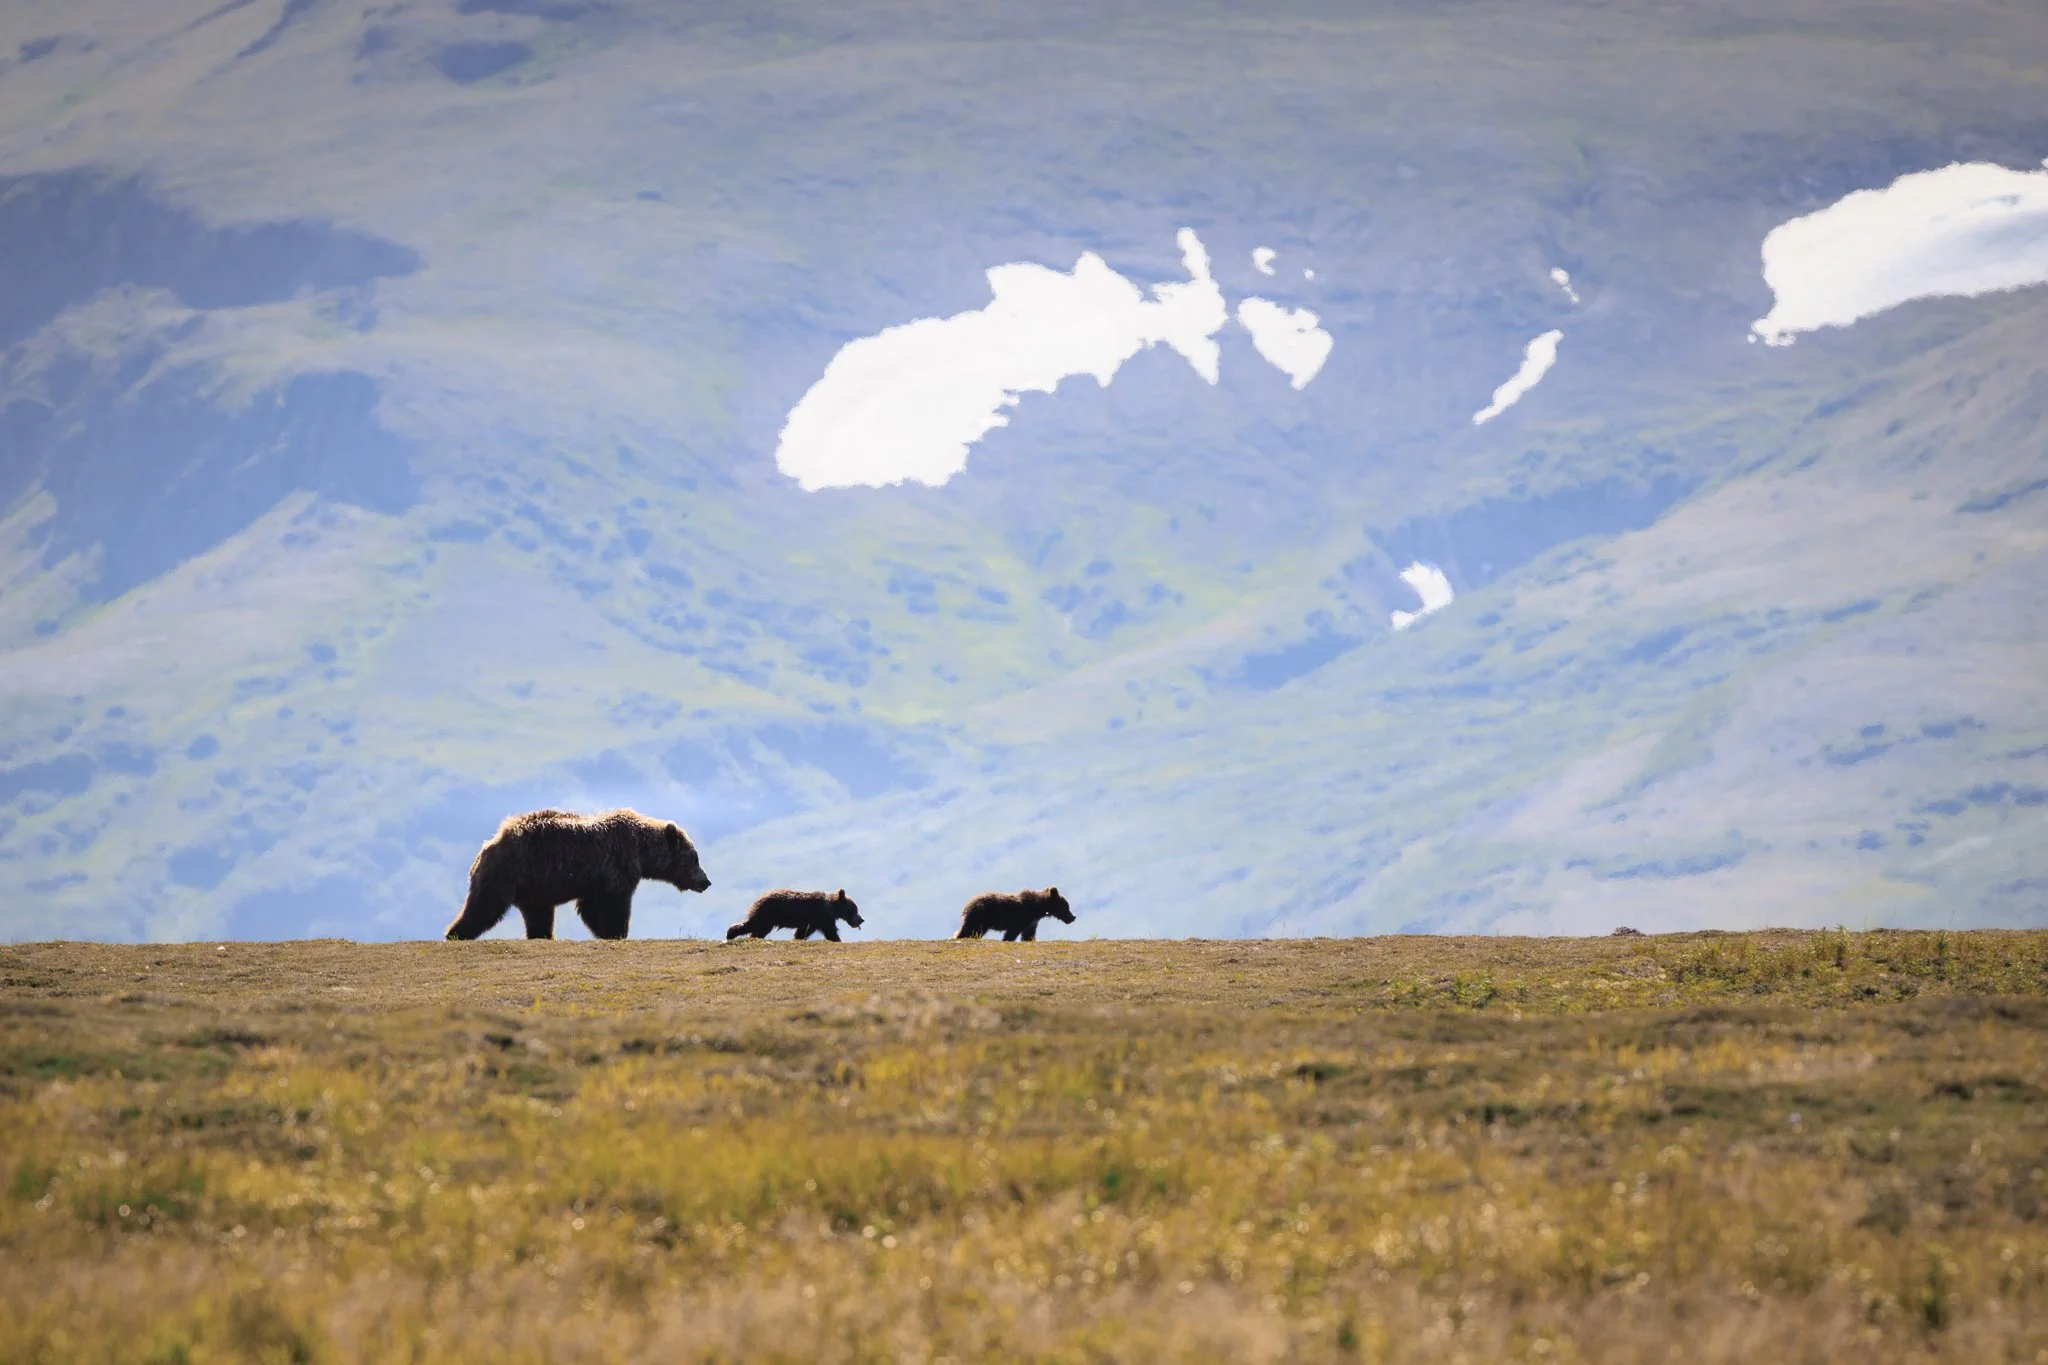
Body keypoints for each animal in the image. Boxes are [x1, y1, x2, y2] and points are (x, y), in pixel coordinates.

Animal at [444, 808, 710, 941]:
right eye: (694, 858)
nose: (706, 881)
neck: (642, 852)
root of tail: (487, 846)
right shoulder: (616, 868)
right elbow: (615, 904)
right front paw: (617, 932)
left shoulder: (595, 881)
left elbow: (590, 908)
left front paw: (604, 932)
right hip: (508, 874)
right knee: (484, 906)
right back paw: (455, 933)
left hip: (533, 887)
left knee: (538, 915)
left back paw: (542, 936)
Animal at [726, 889, 864, 941]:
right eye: (854, 909)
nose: (861, 920)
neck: (832, 908)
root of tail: (761, 897)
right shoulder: (823, 916)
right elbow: (830, 932)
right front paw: (838, 939)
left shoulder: (813, 921)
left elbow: (802, 932)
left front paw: (799, 938)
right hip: (767, 914)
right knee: (753, 925)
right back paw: (730, 933)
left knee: (757, 930)